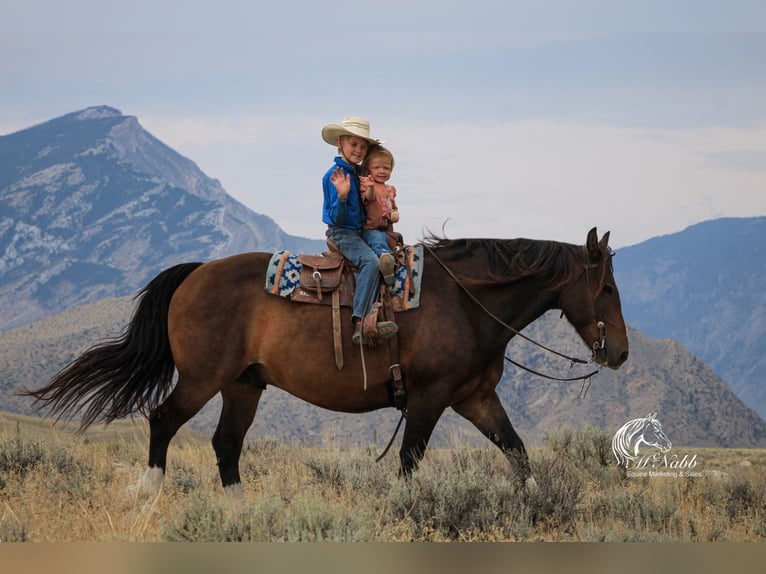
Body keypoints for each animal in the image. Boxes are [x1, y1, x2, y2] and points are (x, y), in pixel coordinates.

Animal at [25, 227, 632, 498]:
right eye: (605, 288)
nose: (621, 352)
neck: (466, 300)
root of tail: (196, 273)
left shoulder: (475, 398)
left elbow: (518, 452)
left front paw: (537, 504)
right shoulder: (430, 399)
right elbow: (409, 462)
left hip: (243, 386)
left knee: (226, 445)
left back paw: (240, 511)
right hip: (202, 379)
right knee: (163, 421)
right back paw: (150, 491)